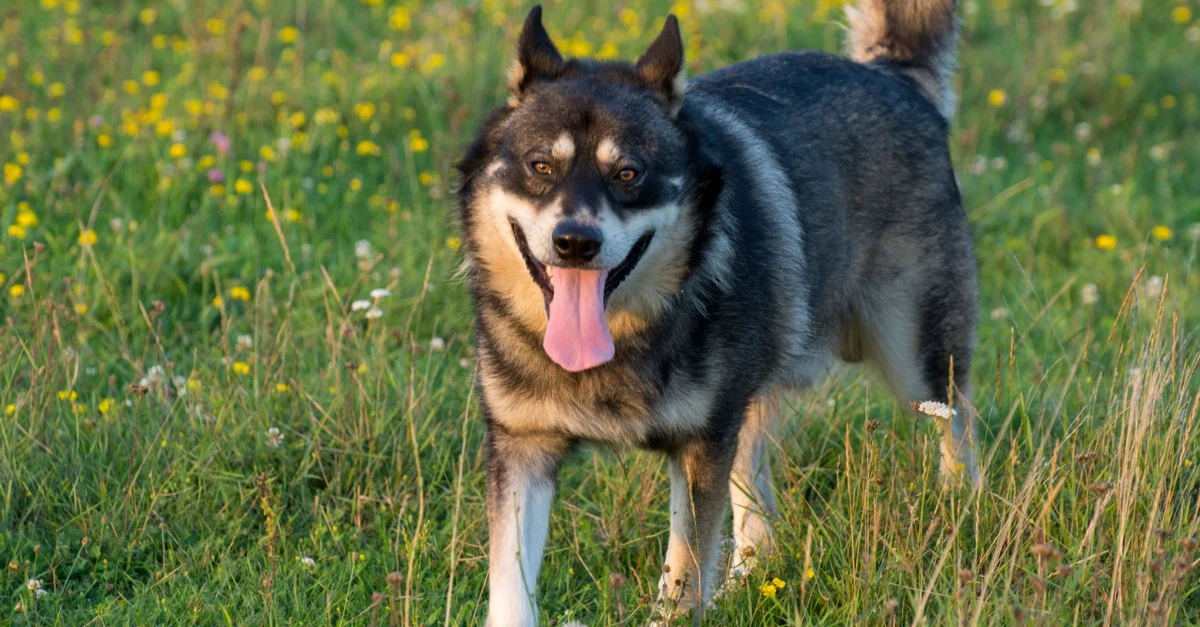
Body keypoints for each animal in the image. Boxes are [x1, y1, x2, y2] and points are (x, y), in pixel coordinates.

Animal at [453, 3, 979, 619]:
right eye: (540, 166)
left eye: (628, 173)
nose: (575, 242)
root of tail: (894, 76)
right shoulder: (522, 448)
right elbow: (511, 592)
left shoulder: (699, 446)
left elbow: (684, 575)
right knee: (757, 509)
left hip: (916, 358)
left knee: (959, 424)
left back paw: (963, 508)